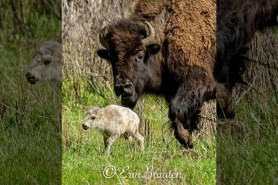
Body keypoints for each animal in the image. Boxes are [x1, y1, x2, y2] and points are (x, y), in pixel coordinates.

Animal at [96, 0, 278, 147]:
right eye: (111, 58)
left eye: (139, 55)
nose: (123, 87)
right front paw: (188, 141)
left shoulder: (198, 80)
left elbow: (175, 109)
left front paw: (185, 138)